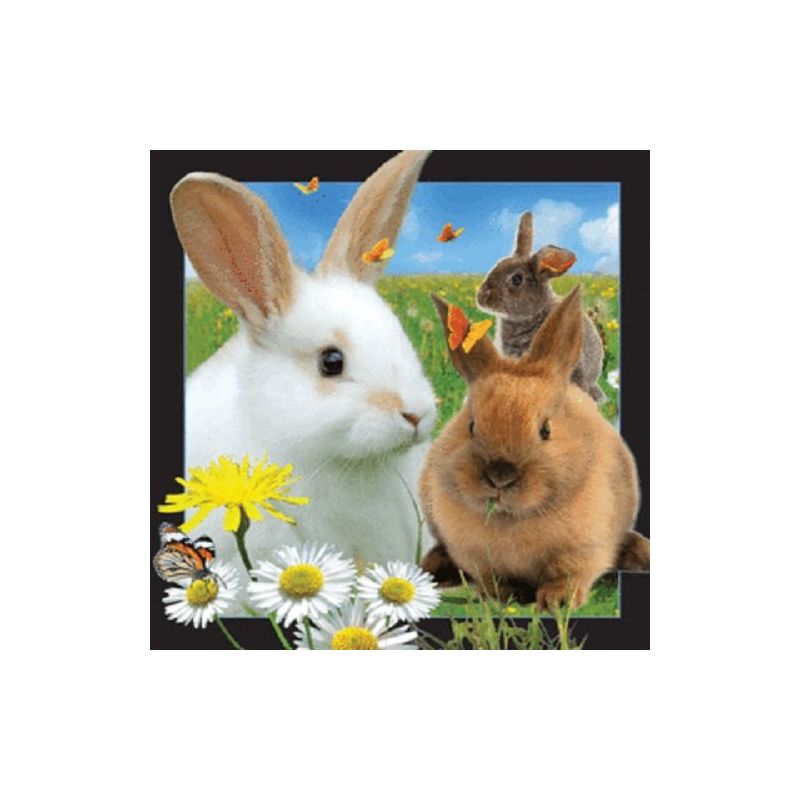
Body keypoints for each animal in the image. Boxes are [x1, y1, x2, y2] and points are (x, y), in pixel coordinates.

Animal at [419, 287, 649, 611]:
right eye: (471, 426)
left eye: (545, 430)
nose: (500, 476)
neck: (513, 517)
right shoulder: (476, 557)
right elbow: (494, 579)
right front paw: (503, 598)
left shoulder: (585, 550)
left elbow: (569, 575)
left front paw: (557, 602)